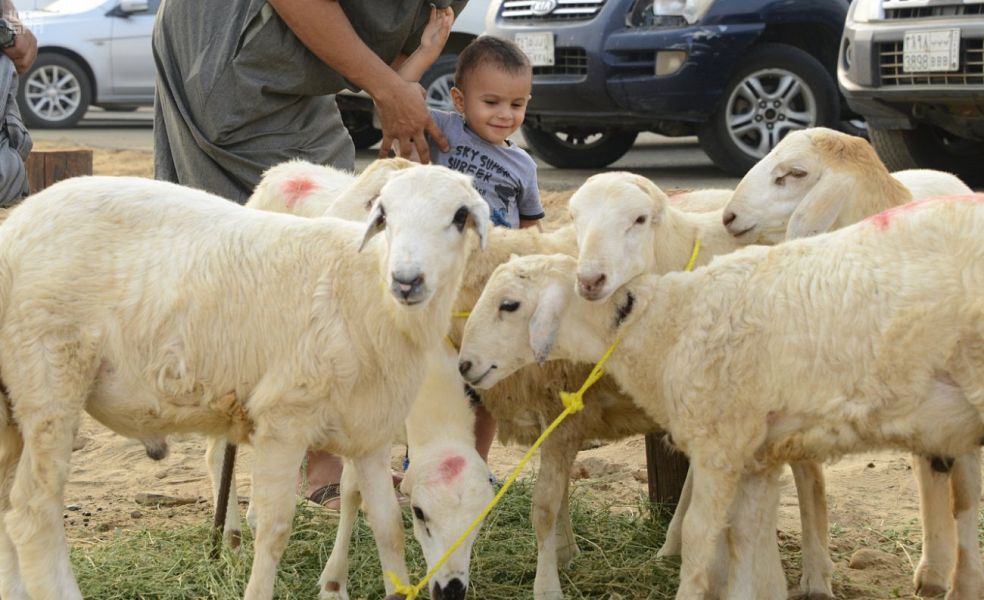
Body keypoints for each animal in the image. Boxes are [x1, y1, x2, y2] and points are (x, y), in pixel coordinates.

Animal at [0, 168, 488, 600]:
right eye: (384, 213)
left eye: (460, 216)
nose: (406, 280)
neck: (370, 293)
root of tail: (13, 228)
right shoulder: (284, 420)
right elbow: (274, 531)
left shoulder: (370, 432)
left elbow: (387, 527)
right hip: (49, 374)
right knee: (32, 512)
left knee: (7, 505)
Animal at [462, 195, 984, 596]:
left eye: (509, 305)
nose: (465, 365)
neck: (664, 322)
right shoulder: (752, 455)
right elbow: (742, 541)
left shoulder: (719, 445)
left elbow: (701, 538)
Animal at [720, 126, 972, 596]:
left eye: (796, 173)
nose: (729, 217)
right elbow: (810, 487)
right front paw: (815, 580)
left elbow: (966, 498)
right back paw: (932, 571)